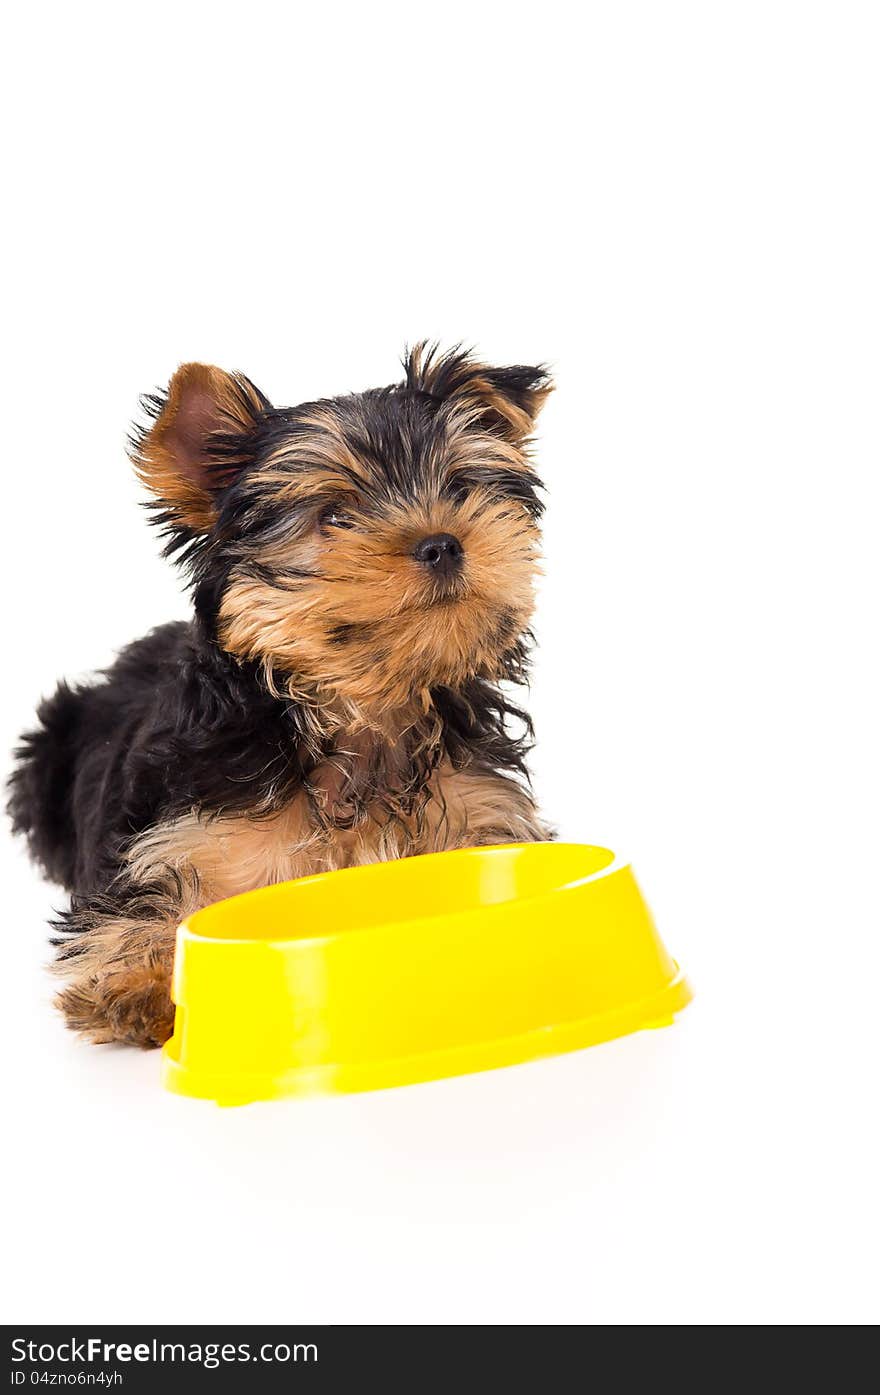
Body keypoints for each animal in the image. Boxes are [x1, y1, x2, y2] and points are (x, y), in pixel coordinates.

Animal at [10, 348, 555, 1049]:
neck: (362, 710)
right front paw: (135, 982)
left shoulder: (477, 807)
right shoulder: (190, 832)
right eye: (334, 517)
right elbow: (153, 898)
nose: (442, 542)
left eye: (460, 488)